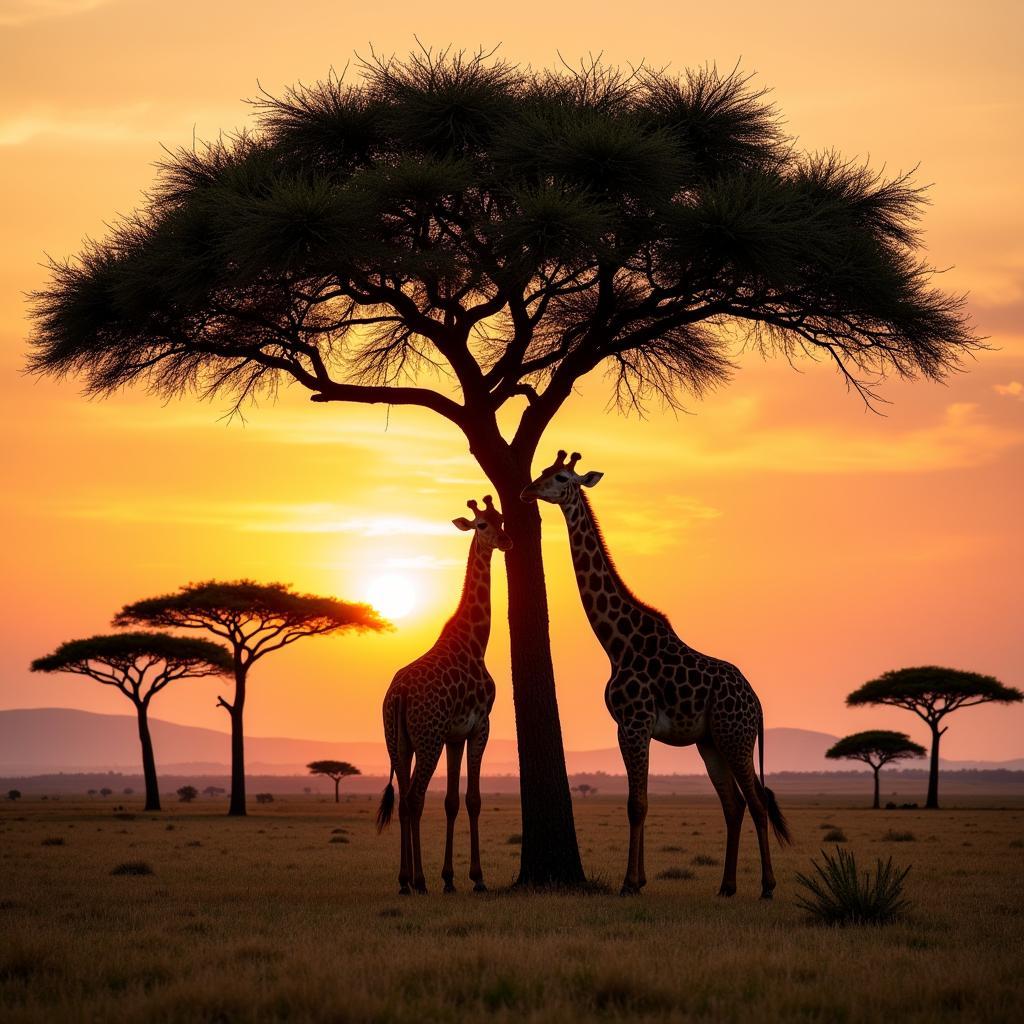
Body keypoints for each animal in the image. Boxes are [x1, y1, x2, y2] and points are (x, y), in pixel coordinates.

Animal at [376, 491, 512, 892]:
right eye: (482, 524)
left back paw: (405, 879)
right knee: (416, 797)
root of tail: (399, 695)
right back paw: (418, 880)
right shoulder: (481, 725)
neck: (476, 641)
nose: (507, 541)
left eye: (501, 518)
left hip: (398, 741)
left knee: (405, 799)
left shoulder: (455, 734)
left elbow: (452, 801)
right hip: (428, 738)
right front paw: (477, 878)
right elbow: (473, 798)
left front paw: (450, 878)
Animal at [524, 454, 786, 897]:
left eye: (559, 477)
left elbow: (637, 804)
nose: (527, 489)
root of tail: (757, 703)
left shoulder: (634, 722)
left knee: (757, 802)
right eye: (541, 470)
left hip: (735, 737)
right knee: (733, 805)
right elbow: (639, 801)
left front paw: (630, 882)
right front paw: (640, 878)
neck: (617, 642)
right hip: (711, 742)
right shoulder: (628, 726)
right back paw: (727, 886)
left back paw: (767, 886)